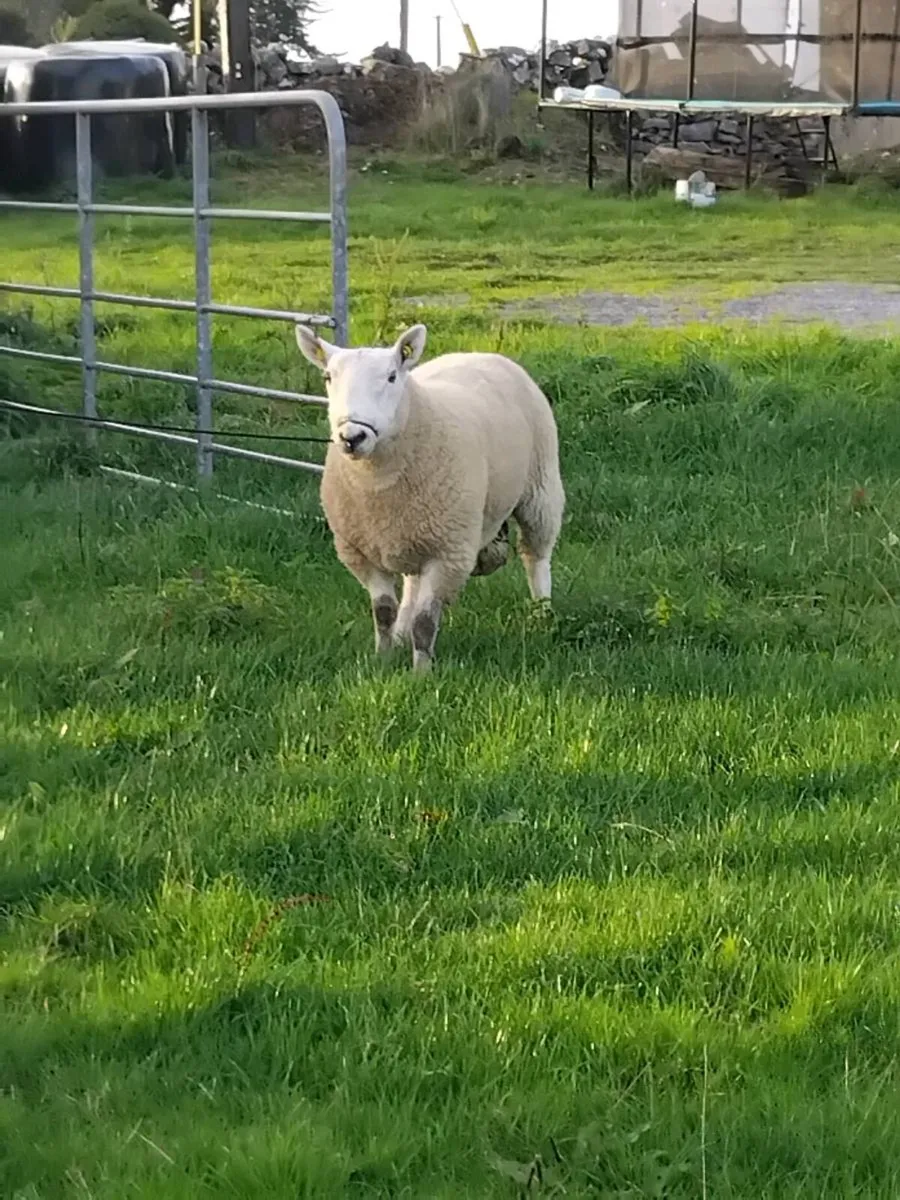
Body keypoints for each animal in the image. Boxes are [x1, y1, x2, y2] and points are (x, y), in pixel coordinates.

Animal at [295, 322, 565, 672]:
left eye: (392, 376)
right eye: (328, 377)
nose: (352, 436)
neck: (378, 483)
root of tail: (478, 353)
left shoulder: (448, 553)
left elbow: (425, 622)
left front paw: (420, 674)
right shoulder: (360, 551)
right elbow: (383, 612)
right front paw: (383, 660)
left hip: (540, 487)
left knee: (536, 556)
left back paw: (542, 614)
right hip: (414, 533)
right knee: (411, 584)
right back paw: (401, 632)